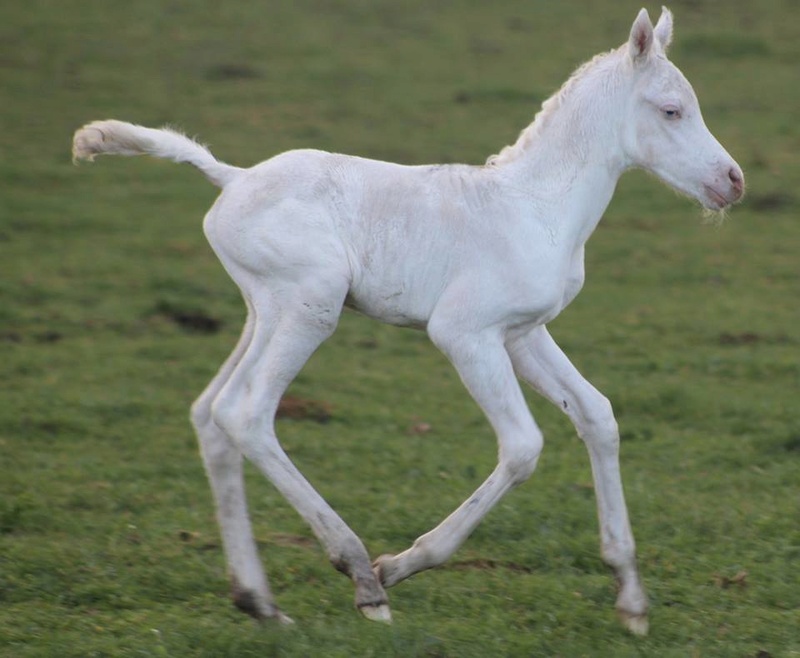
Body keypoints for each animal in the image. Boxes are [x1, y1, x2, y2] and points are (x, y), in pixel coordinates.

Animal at [73, 5, 744, 632]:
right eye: (671, 111)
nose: (733, 182)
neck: (537, 205)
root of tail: (230, 179)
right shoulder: (465, 334)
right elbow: (522, 446)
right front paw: (400, 565)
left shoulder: (523, 335)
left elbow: (598, 417)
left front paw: (631, 599)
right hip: (310, 306)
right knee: (246, 413)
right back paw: (361, 575)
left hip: (263, 311)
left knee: (211, 414)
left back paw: (259, 602)